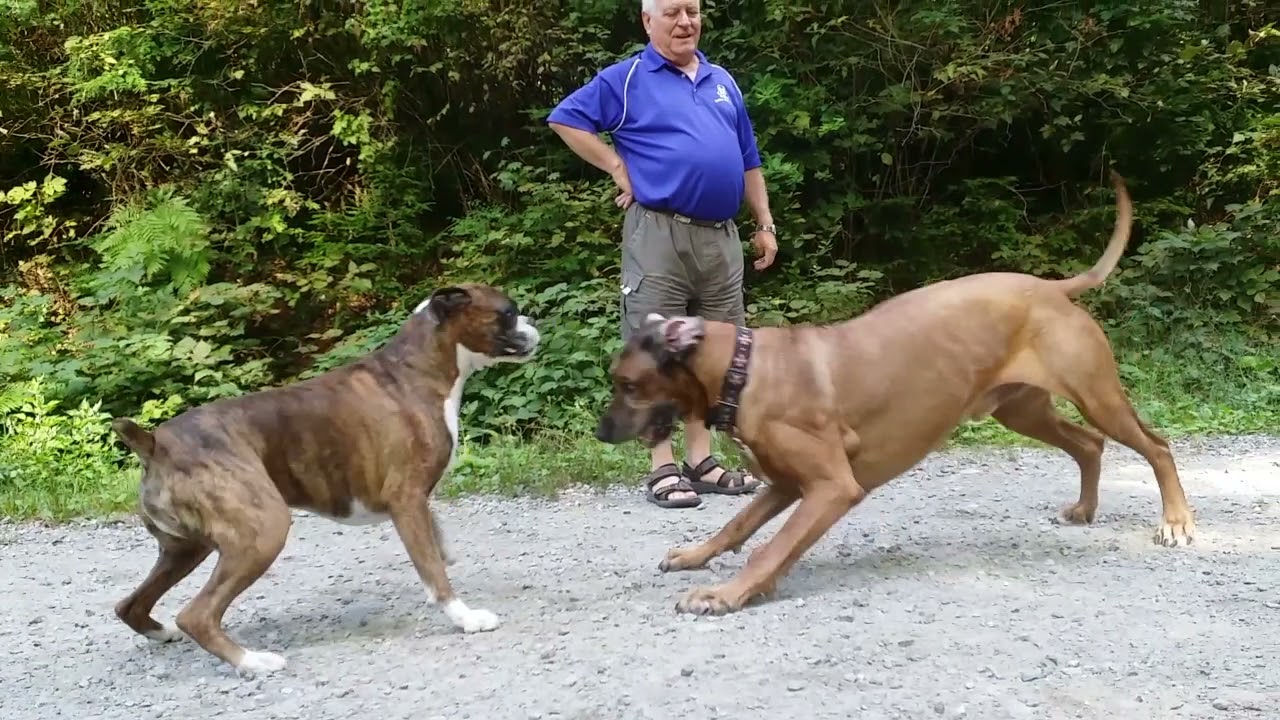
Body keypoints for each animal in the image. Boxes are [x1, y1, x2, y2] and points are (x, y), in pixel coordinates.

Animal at [111, 281, 545, 671]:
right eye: (508, 312)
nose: (532, 320)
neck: (416, 370)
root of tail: (156, 444)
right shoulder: (406, 499)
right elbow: (433, 571)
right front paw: (464, 617)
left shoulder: (415, 504)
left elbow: (433, 549)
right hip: (262, 532)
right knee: (197, 614)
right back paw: (254, 661)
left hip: (184, 549)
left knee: (128, 605)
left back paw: (163, 632)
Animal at [593, 170, 1192, 614]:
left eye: (627, 384)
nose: (601, 430)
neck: (744, 369)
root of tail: (1050, 287)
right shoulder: (785, 484)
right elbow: (736, 525)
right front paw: (696, 556)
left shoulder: (832, 487)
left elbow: (770, 548)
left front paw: (726, 594)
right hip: (1023, 411)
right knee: (1090, 444)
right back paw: (1087, 508)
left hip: (1096, 395)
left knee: (1156, 446)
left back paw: (1177, 523)